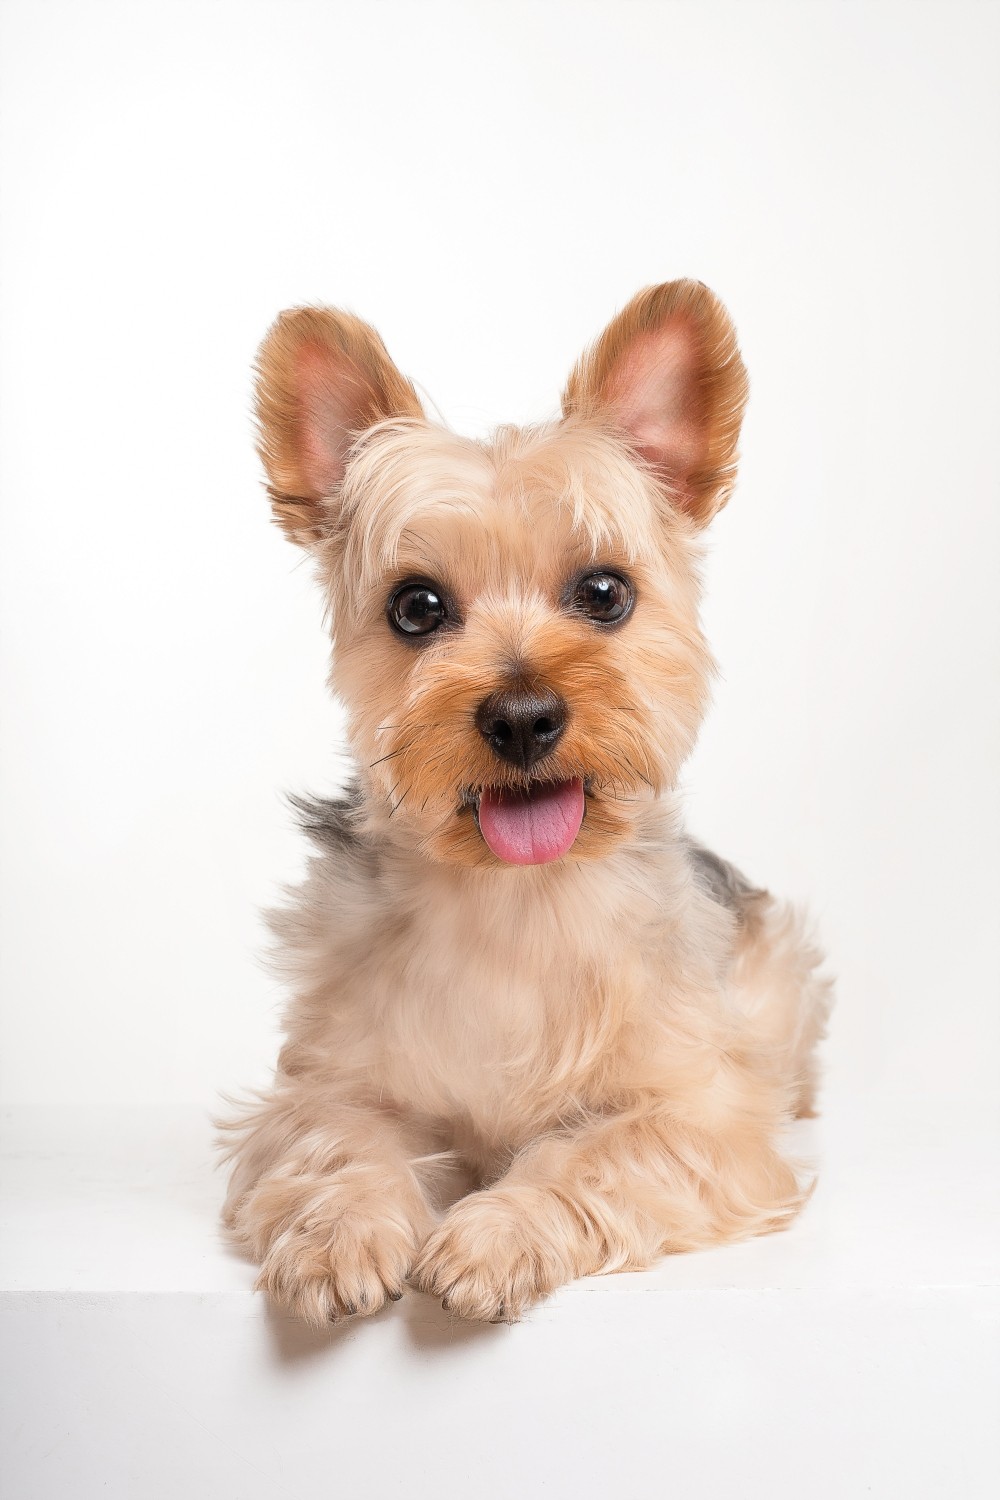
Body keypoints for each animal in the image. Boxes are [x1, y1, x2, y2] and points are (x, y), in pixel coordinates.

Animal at [220, 280, 831, 1325]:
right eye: (416, 607)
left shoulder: (707, 1121)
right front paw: (343, 1232)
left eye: (604, 592)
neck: (517, 896)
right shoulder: (320, 1088)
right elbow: (340, 1139)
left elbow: (597, 1152)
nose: (521, 718)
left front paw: (499, 1233)